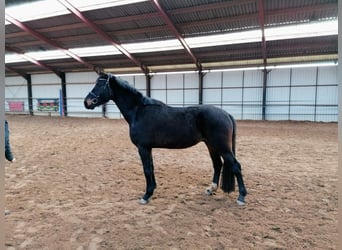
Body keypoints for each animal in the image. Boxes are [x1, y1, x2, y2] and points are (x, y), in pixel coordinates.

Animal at [84, 72, 247, 205]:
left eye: (100, 84)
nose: (87, 102)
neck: (138, 111)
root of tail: (226, 114)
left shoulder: (143, 148)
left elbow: (147, 170)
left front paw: (146, 196)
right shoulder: (148, 148)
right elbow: (151, 168)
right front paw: (152, 190)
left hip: (221, 147)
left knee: (235, 166)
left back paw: (241, 197)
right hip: (211, 145)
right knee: (217, 164)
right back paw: (210, 189)